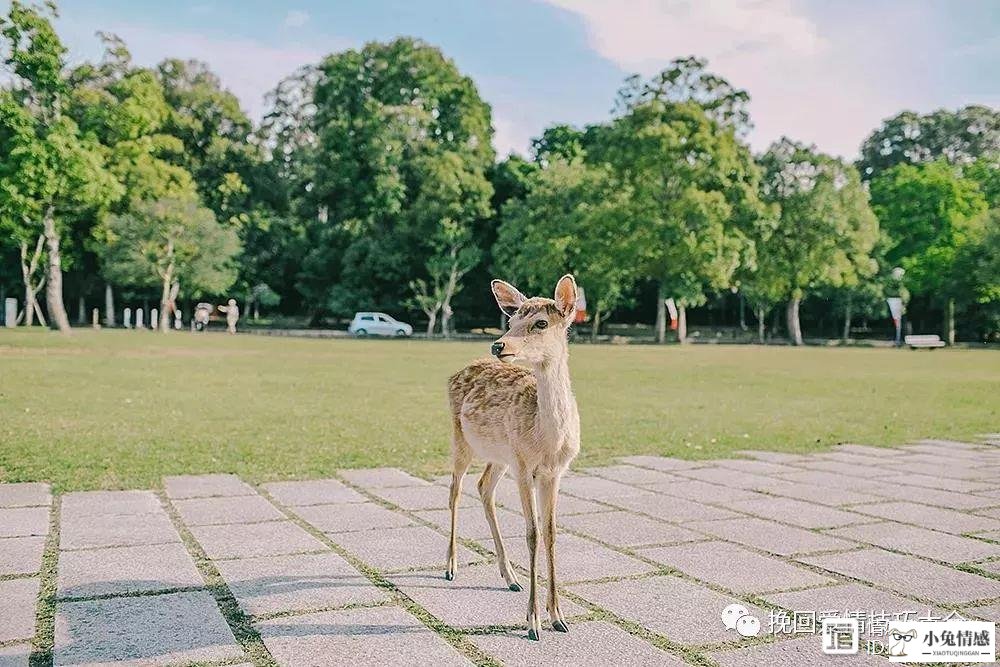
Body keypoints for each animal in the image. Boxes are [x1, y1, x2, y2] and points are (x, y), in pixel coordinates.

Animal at [446, 272, 580, 640]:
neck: (547, 441)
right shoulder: (523, 466)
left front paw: (558, 616)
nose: (498, 345)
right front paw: (533, 622)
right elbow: (531, 533)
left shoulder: (554, 472)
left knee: (483, 487)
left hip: (498, 456)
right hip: (460, 439)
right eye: (510, 321)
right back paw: (450, 566)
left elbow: (550, 532)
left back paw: (510, 577)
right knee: (455, 490)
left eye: (540, 322)